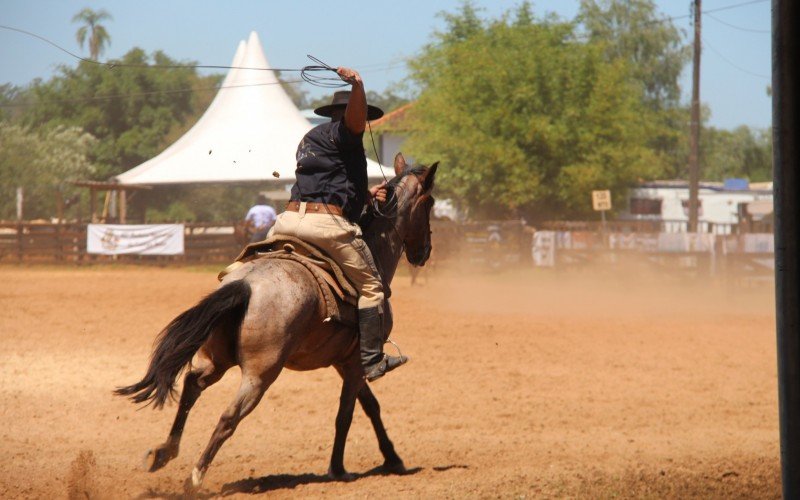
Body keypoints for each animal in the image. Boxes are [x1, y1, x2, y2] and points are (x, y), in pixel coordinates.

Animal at [115, 153, 434, 492]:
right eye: (430, 203)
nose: (424, 252)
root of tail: (247, 285)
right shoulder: (357, 364)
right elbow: (346, 415)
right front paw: (338, 468)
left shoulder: (346, 361)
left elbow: (369, 406)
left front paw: (392, 459)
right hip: (260, 375)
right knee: (228, 417)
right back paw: (195, 478)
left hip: (217, 361)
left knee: (191, 385)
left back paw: (164, 453)